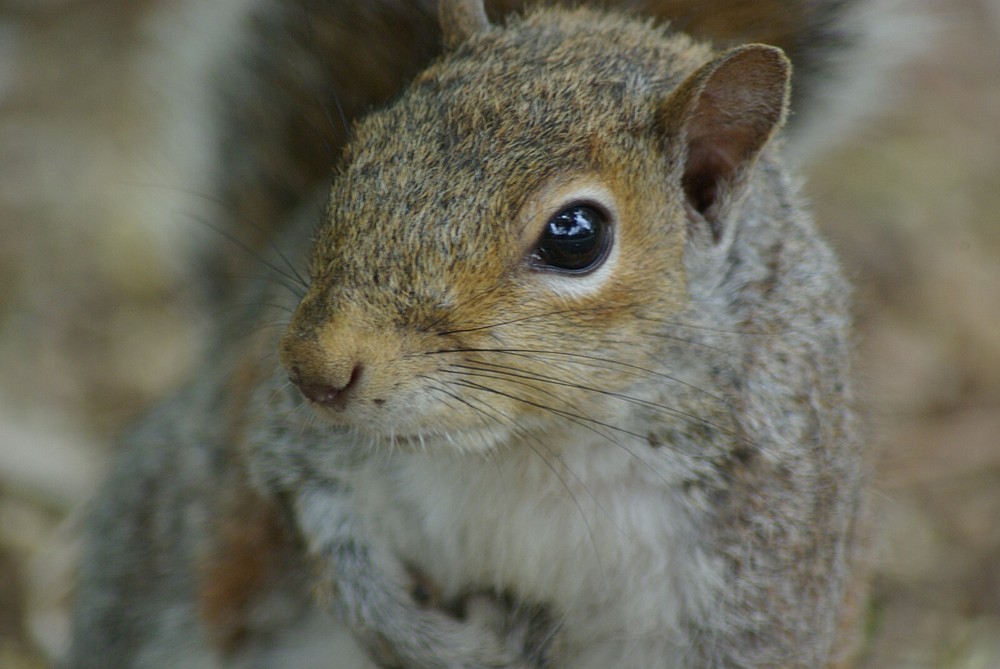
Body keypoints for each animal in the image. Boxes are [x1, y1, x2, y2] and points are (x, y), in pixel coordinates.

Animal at [68, 0, 877, 667]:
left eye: (576, 235)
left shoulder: (759, 568)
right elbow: (331, 540)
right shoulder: (291, 447)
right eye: (361, 148)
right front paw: (451, 645)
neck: (532, 445)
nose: (313, 371)